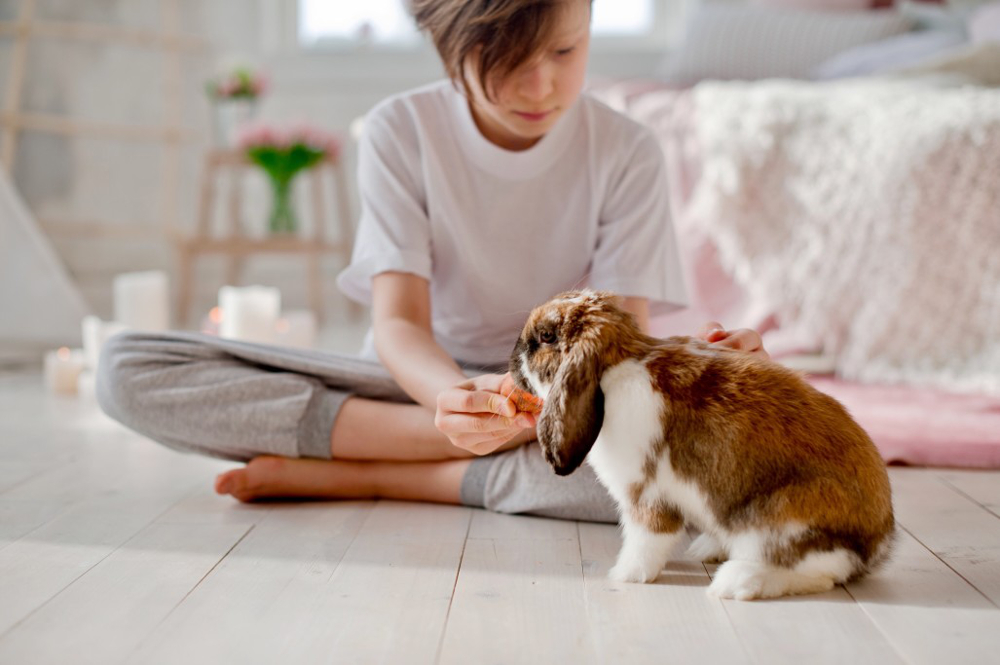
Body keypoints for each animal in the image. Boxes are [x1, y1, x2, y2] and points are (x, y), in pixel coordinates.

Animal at [508, 289, 894, 600]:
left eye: (546, 336)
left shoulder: (645, 496)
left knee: (819, 572)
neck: (615, 367)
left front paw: (625, 575)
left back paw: (735, 582)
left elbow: (646, 540)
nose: (513, 357)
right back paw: (708, 550)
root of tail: (877, 541)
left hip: (781, 518)